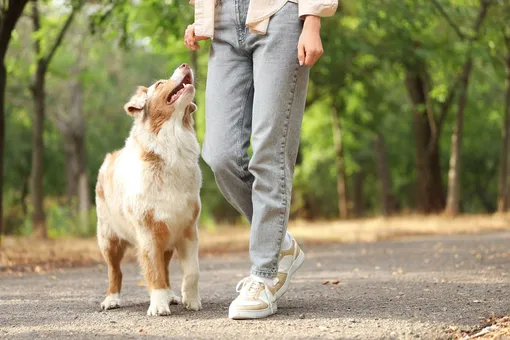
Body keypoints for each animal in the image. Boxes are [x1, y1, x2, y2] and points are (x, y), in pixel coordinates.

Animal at [95, 63, 201, 316]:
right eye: (160, 84)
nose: (185, 65)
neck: (172, 148)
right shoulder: (148, 232)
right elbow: (153, 271)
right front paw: (159, 305)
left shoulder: (187, 229)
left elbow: (192, 271)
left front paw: (191, 300)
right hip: (108, 238)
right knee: (115, 270)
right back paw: (111, 299)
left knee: (166, 267)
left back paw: (171, 295)